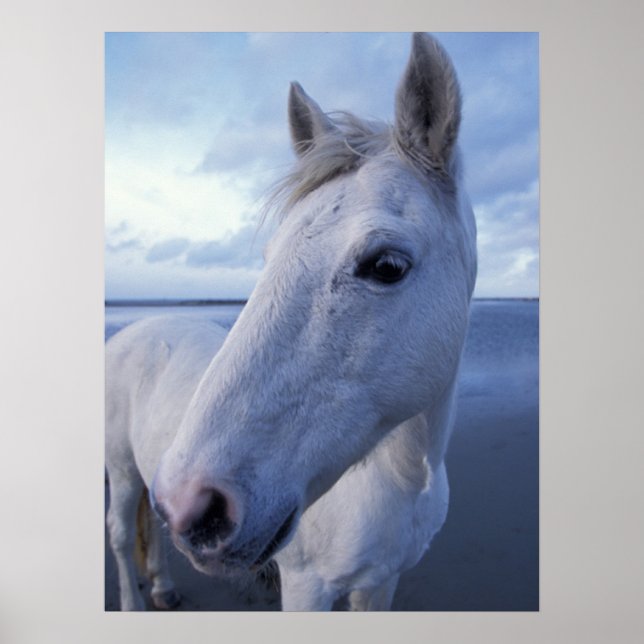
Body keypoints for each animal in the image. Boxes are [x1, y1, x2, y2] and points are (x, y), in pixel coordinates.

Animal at [105, 32, 477, 611]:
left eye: (387, 266)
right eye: (268, 256)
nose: (193, 504)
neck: (401, 478)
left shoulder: (381, 583)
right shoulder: (306, 586)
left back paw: (164, 587)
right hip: (121, 471)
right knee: (122, 535)